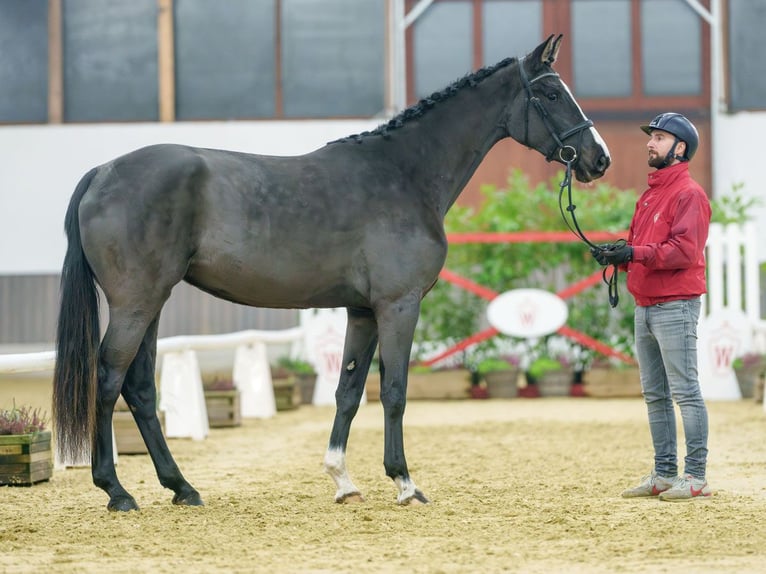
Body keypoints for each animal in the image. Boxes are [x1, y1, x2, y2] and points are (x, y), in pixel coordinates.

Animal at [52, 36, 612, 512]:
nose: (599, 159)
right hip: (137, 302)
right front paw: (405, 483)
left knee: (140, 388)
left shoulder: (362, 311)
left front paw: (343, 480)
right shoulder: (399, 304)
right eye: (551, 93)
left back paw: (181, 487)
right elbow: (394, 390)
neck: (402, 174)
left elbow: (348, 391)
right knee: (109, 378)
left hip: (153, 304)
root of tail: (102, 172)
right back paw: (117, 490)